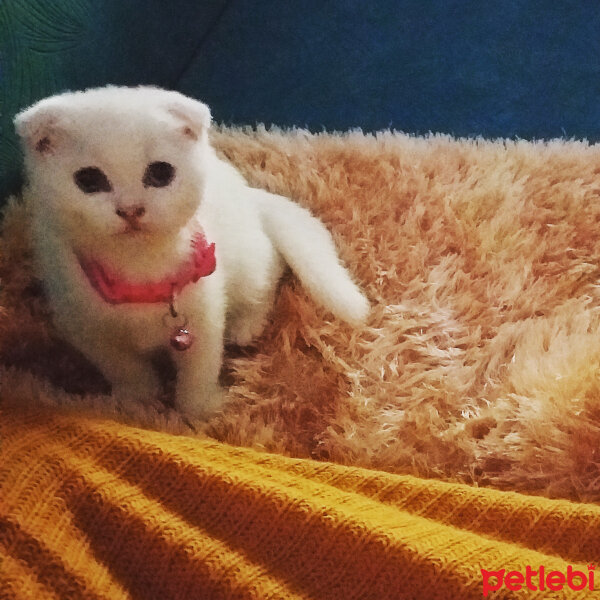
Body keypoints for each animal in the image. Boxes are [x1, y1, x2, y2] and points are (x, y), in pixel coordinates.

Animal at [14, 86, 368, 420]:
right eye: (89, 180)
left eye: (160, 173)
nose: (131, 210)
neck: (139, 270)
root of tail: (248, 194)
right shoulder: (82, 323)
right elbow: (123, 366)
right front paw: (139, 398)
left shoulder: (204, 315)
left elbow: (200, 369)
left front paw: (200, 409)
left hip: (248, 261)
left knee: (270, 273)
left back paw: (246, 325)